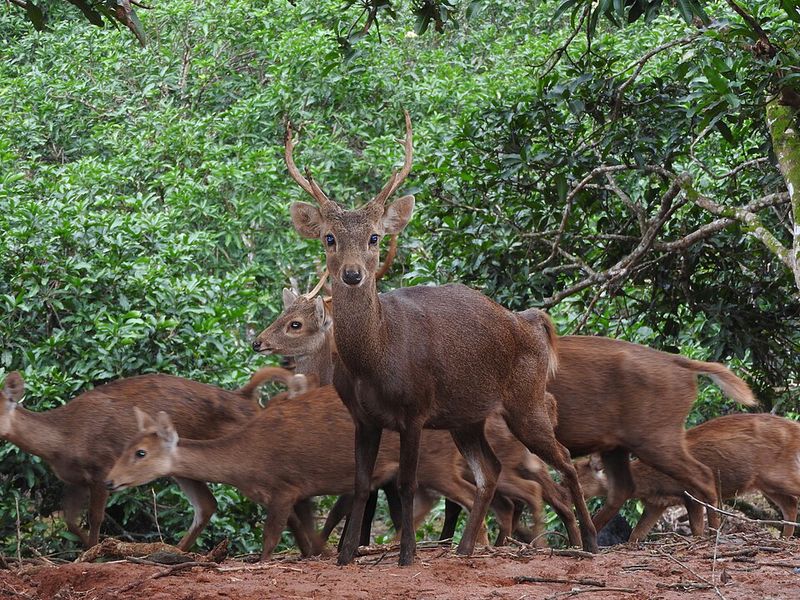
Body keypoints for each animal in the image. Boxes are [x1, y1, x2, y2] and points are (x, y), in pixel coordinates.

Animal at [0, 368, 284, 551]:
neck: (64, 439)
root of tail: (247, 399)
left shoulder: (102, 467)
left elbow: (95, 517)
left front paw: (94, 553)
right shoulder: (74, 480)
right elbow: (70, 519)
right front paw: (93, 548)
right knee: (207, 505)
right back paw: (176, 551)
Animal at [105, 375, 509, 560]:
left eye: (140, 452)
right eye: (125, 447)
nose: (109, 481)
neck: (246, 461)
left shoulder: (284, 487)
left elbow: (269, 542)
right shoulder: (291, 493)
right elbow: (305, 538)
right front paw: (329, 553)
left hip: (433, 464)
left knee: (471, 491)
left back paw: (476, 547)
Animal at [283, 111, 597, 566]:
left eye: (375, 237)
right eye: (329, 238)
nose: (353, 274)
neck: (375, 359)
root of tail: (531, 322)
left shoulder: (415, 409)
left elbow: (406, 484)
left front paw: (407, 556)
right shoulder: (362, 417)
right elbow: (360, 484)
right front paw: (345, 556)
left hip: (526, 400)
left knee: (566, 460)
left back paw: (588, 541)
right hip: (467, 417)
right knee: (491, 471)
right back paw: (465, 549)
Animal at [576, 413, 800, 541]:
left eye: (577, 478)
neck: (649, 482)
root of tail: (793, 427)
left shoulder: (690, 493)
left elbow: (697, 529)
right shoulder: (657, 503)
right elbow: (636, 534)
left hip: (777, 474)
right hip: (766, 482)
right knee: (789, 504)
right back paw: (784, 539)